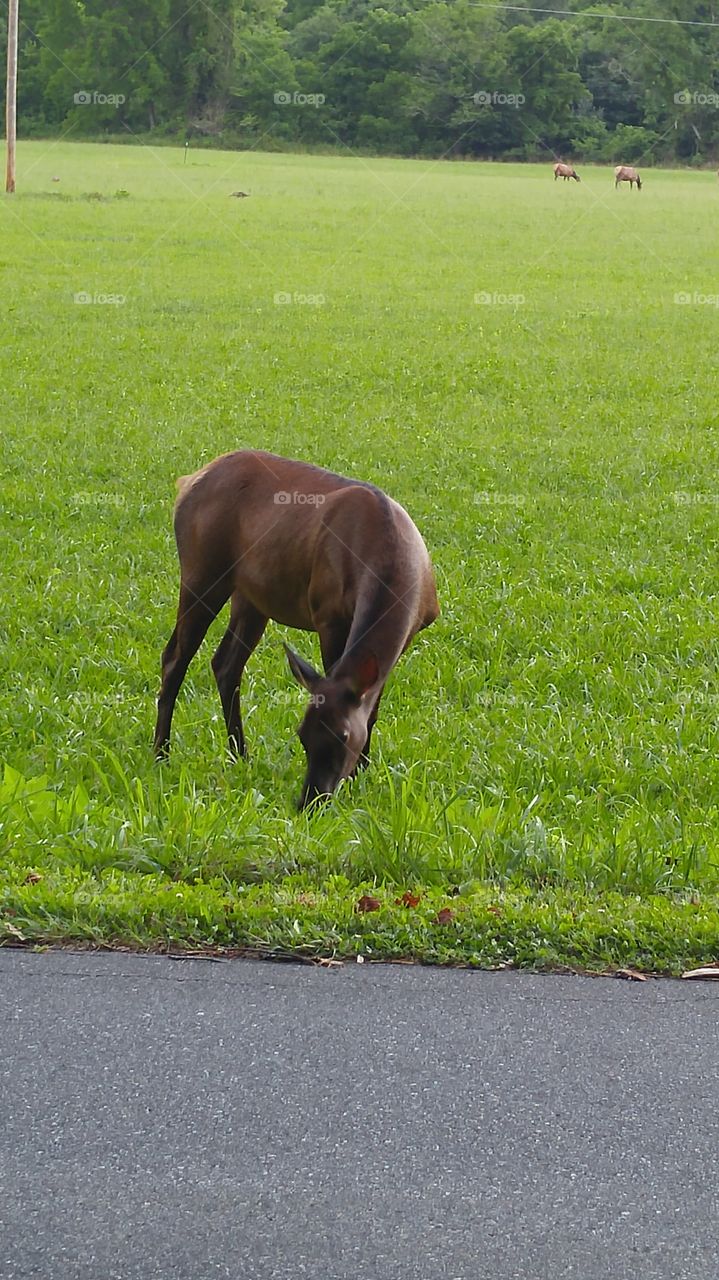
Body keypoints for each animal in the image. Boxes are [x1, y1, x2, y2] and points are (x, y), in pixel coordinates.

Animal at [153, 450, 439, 809]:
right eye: (302, 734)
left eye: (343, 736)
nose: (311, 800)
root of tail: (187, 482)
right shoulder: (328, 613)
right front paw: (358, 776)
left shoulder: (409, 633)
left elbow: (372, 708)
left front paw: (362, 773)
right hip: (201, 569)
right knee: (175, 656)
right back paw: (161, 753)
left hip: (251, 595)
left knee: (225, 663)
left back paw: (239, 754)